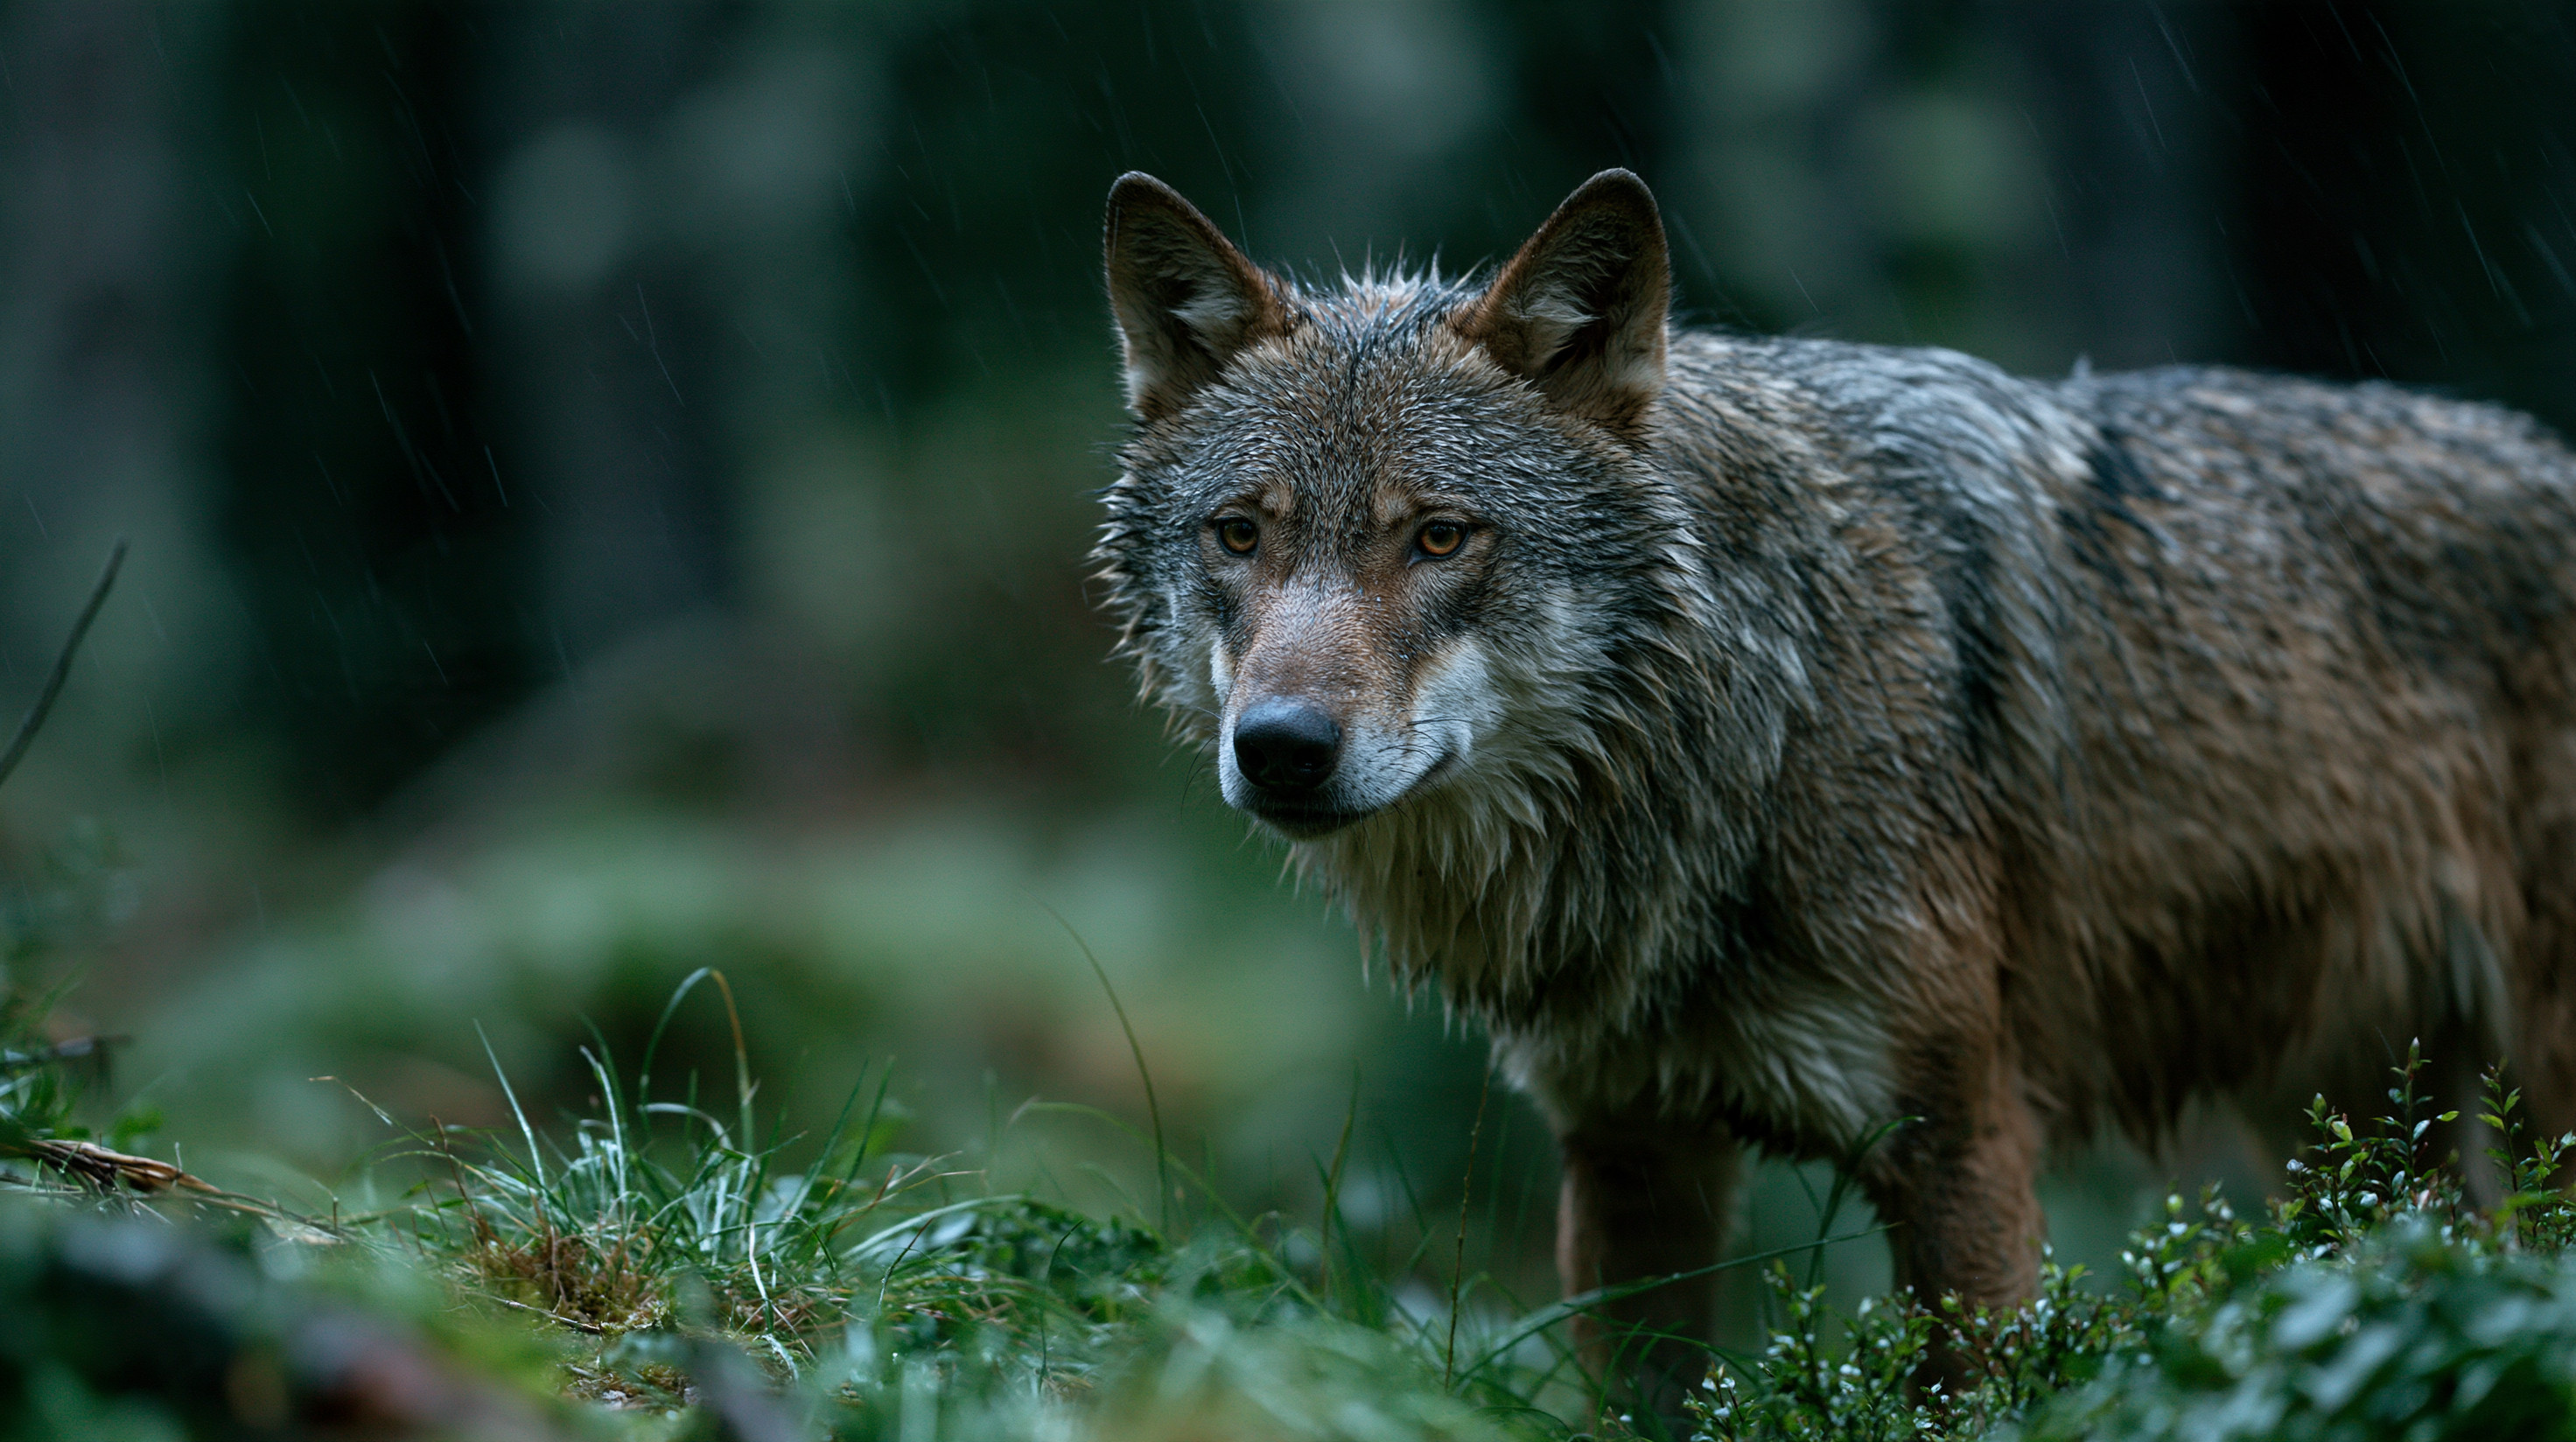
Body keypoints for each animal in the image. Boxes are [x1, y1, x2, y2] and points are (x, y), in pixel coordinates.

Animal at [1091, 167, 2576, 1391]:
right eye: (1240, 536)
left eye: (1441, 538)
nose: (1280, 746)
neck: (1758, 718)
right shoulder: (1628, 1154)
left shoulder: (1961, 1143)